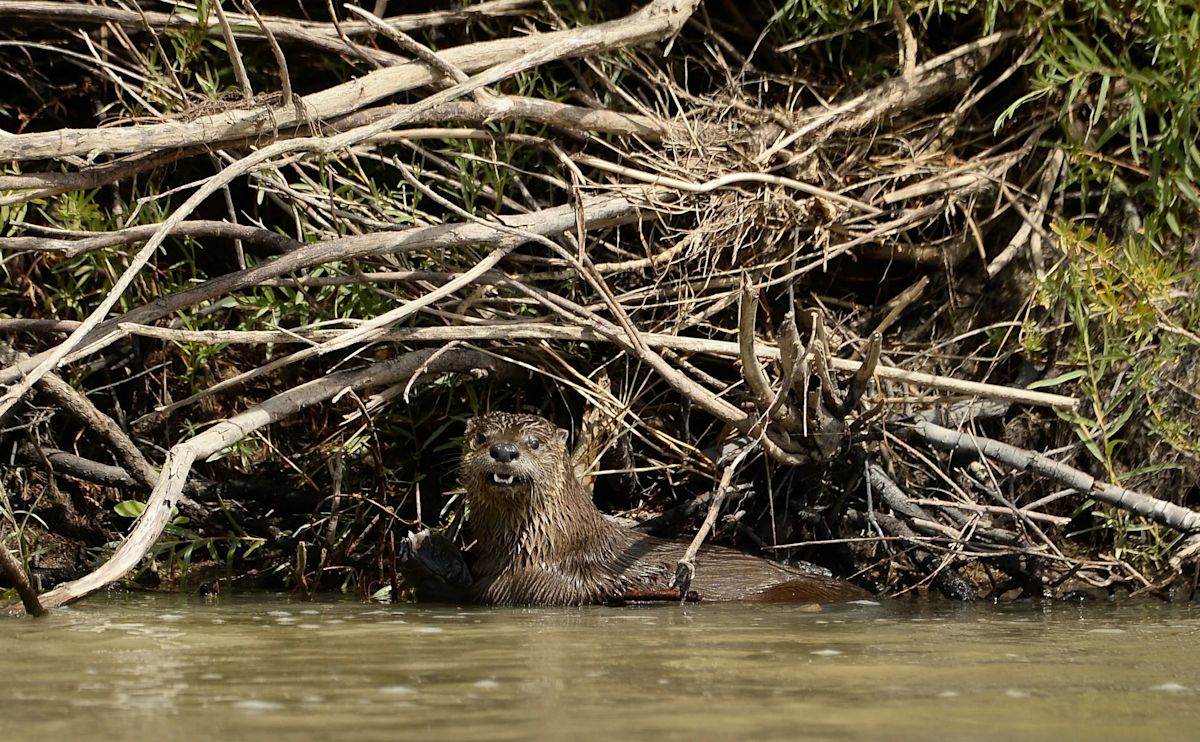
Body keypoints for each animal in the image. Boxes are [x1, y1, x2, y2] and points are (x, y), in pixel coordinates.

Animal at [398, 412, 870, 606]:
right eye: (481, 437)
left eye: (532, 442)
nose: (503, 450)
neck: (544, 546)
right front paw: (428, 552)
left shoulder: (540, 583)